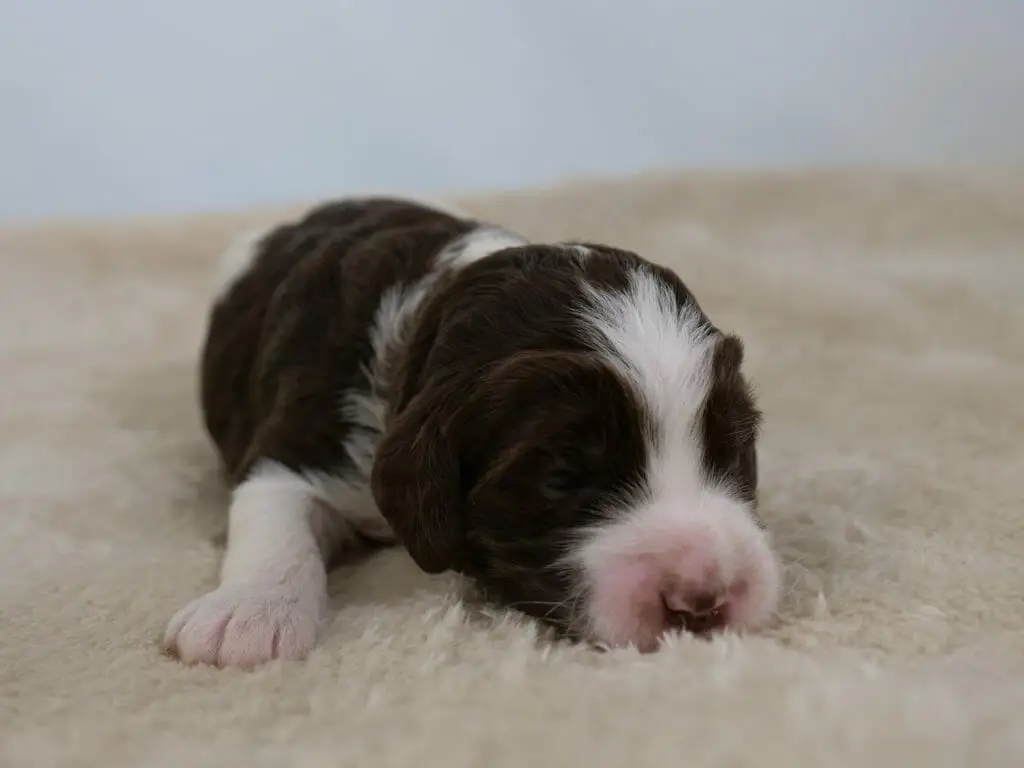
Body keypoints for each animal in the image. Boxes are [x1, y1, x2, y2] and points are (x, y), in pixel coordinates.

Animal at [163, 198, 778, 667]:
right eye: (561, 478)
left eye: (731, 454)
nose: (701, 599)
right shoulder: (300, 445)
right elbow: (276, 520)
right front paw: (246, 614)